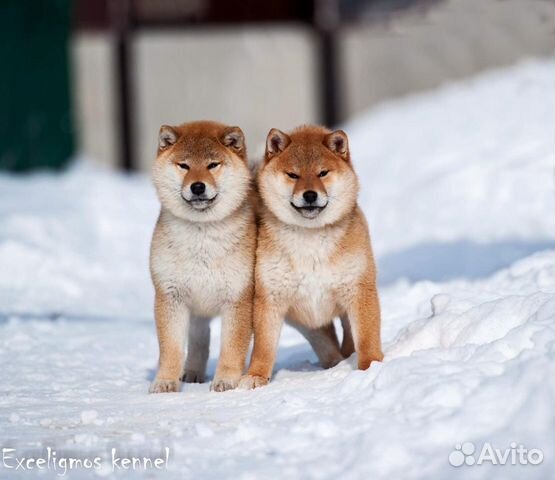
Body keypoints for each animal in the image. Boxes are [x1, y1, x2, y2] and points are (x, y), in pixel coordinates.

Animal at [149, 120, 255, 394]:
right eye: (184, 165)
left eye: (212, 165)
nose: (197, 186)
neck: (201, 240)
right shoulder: (171, 295)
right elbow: (171, 349)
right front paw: (165, 381)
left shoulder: (237, 298)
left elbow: (232, 347)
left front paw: (226, 380)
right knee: (199, 342)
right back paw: (193, 373)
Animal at [241, 124, 384, 390]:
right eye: (293, 175)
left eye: (322, 173)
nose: (309, 195)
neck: (310, 240)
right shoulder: (270, 299)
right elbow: (263, 347)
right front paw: (256, 376)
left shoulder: (359, 290)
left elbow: (367, 337)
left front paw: (370, 367)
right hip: (307, 323)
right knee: (328, 348)